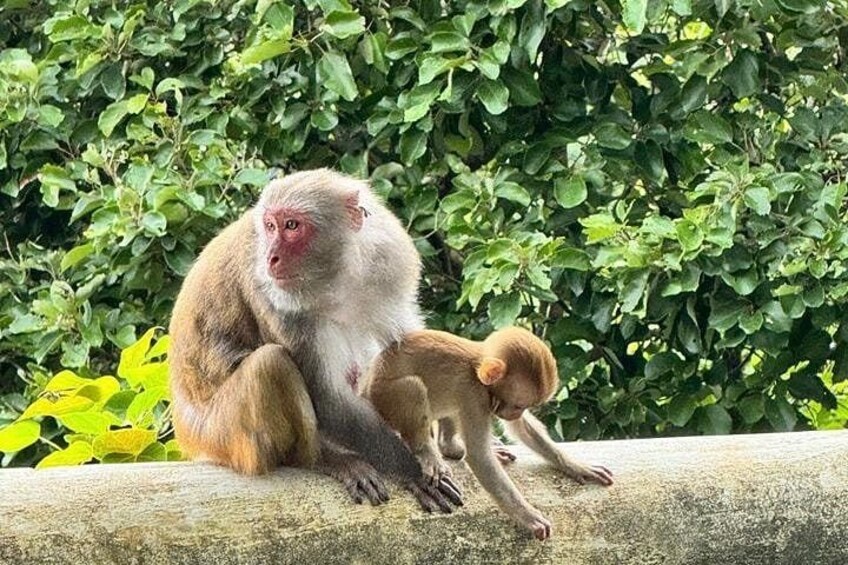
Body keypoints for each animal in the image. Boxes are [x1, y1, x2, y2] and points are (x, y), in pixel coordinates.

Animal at [168, 169, 461, 512]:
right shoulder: (272, 295)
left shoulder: (389, 260)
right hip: (223, 437)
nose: (271, 257)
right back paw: (321, 459)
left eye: (292, 226)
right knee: (271, 364)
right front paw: (411, 470)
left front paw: (436, 445)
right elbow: (328, 397)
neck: (339, 276)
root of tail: (187, 434)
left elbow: (406, 346)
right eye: (270, 226)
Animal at [362, 327, 613, 540]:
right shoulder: (473, 395)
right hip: (382, 396)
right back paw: (428, 455)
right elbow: (479, 456)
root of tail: (365, 386)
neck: (477, 369)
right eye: (518, 404)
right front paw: (528, 516)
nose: (513, 413)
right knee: (412, 387)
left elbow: (523, 429)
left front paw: (577, 466)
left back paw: (450, 448)